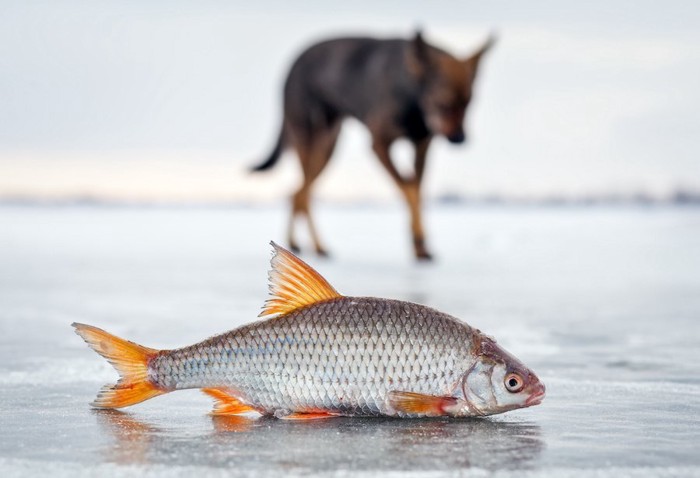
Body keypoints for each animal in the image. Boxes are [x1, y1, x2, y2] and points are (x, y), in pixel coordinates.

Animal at [250, 31, 492, 260]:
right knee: (302, 192)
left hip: (328, 145)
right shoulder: (379, 145)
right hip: (308, 137)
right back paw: (309, 245)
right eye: (443, 102)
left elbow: (416, 190)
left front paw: (420, 245)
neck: (412, 97)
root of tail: (295, 61)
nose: (460, 139)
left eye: (469, 103)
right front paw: (418, 240)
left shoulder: (421, 146)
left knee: (299, 192)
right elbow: (407, 189)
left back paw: (306, 245)